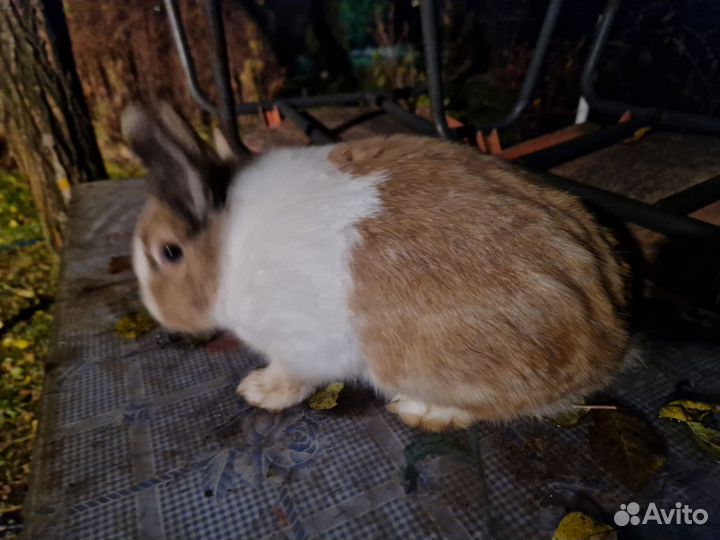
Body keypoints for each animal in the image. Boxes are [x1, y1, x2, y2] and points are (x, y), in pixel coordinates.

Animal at [122, 102, 634, 432]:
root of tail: (610, 338)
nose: (161, 315)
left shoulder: (297, 346)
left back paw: (422, 412)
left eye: (168, 253)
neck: (225, 249)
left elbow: (293, 377)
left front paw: (259, 391)